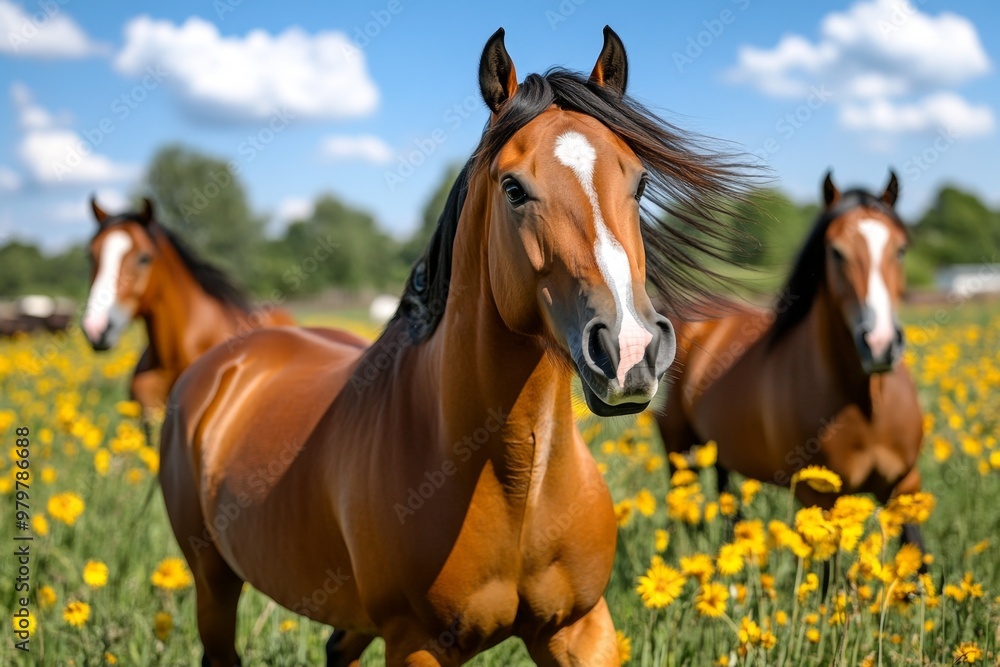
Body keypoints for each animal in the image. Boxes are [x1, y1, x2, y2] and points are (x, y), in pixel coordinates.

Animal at [161, 26, 752, 666]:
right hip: (214, 584)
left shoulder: (581, 628)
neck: (516, 483)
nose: (631, 350)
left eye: (639, 183)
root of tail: (222, 365)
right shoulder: (417, 645)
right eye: (514, 188)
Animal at [655, 171, 925, 548]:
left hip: (717, 449)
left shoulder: (906, 487)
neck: (868, 407)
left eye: (900, 249)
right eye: (836, 251)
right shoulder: (820, 498)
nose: (880, 343)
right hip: (679, 452)